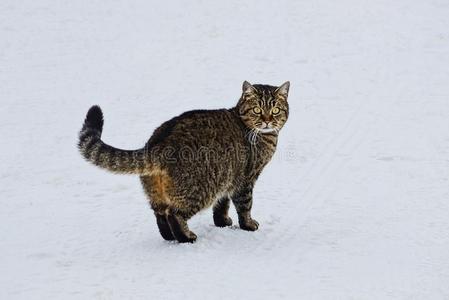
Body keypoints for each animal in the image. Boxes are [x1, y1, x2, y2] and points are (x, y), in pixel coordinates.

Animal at [79, 81, 290, 243]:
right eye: (257, 109)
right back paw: (185, 237)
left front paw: (222, 222)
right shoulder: (246, 179)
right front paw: (248, 225)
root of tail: (158, 144)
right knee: (174, 214)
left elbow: (222, 204)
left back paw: (169, 236)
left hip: (157, 192)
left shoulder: (228, 178)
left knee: (160, 214)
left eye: (275, 110)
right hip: (199, 189)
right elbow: (245, 205)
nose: (268, 120)